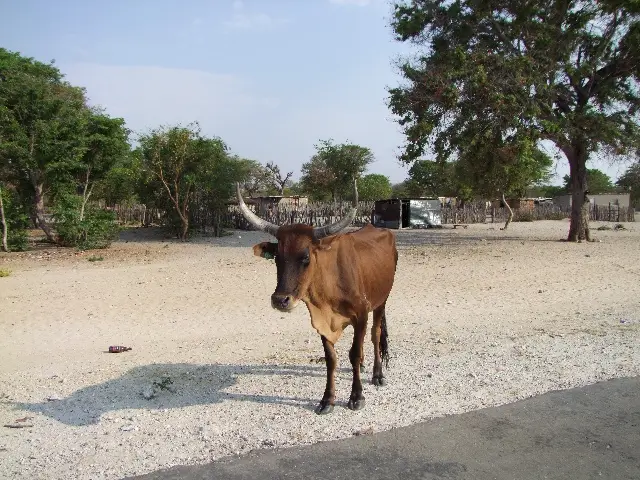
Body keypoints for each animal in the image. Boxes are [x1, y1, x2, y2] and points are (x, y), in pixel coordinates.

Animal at [236, 179, 398, 414]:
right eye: (277, 257)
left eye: (305, 257)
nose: (280, 300)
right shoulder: (322, 320)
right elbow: (331, 359)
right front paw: (327, 399)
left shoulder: (361, 313)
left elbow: (354, 353)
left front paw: (356, 396)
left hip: (381, 302)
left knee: (375, 335)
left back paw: (377, 375)